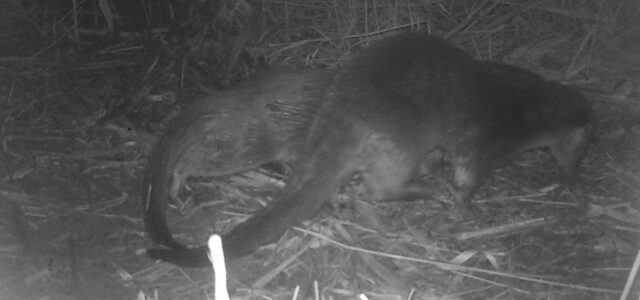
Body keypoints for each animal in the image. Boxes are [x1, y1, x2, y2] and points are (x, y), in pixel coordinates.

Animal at [145, 32, 596, 268]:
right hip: (397, 142)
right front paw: (468, 207)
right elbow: (467, 177)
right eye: (583, 150)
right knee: (382, 188)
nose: (575, 176)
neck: (526, 109)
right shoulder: (485, 142)